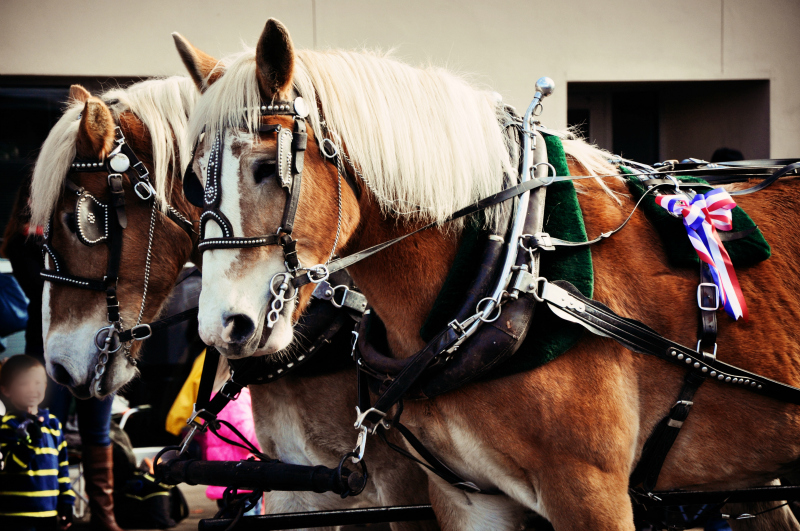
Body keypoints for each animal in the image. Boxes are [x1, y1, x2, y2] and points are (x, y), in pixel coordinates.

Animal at [181, 17, 800, 531]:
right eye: (189, 184)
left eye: (268, 167)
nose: (222, 327)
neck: (511, 271)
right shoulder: (469, 496)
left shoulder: (590, 493)